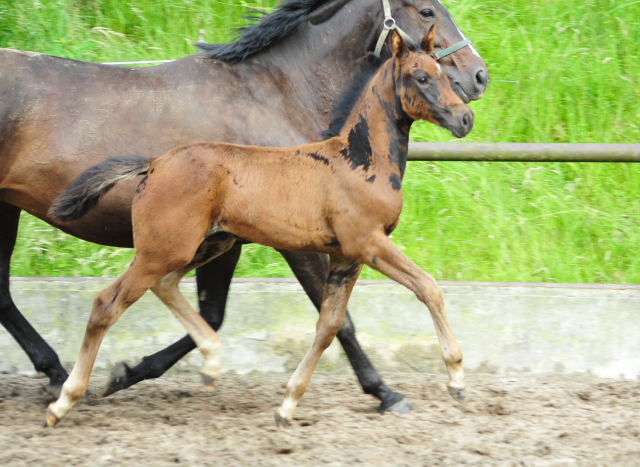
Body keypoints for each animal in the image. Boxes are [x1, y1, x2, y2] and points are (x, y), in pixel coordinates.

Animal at [47, 29, 472, 430]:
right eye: (421, 77)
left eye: (442, 73)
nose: (465, 118)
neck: (358, 161)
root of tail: (154, 164)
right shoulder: (367, 242)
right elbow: (428, 288)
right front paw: (456, 378)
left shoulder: (344, 256)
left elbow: (330, 325)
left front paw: (287, 405)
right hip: (164, 250)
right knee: (107, 303)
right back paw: (63, 401)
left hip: (208, 244)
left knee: (165, 286)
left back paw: (209, 362)